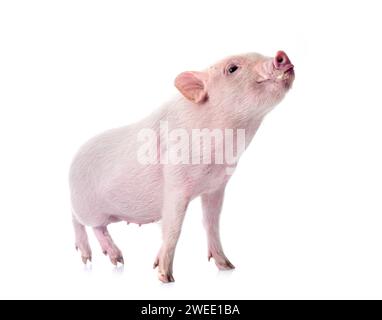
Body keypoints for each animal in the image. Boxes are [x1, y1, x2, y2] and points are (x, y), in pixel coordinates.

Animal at [69, 50, 296, 282]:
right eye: (232, 68)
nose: (281, 55)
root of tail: (73, 159)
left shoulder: (216, 187)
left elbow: (211, 223)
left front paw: (227, 266)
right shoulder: (175, 183)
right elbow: (173, 228)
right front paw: (165, 277)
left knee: (97, 226)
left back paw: (117, 260)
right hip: (84, 204)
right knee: (76, 218)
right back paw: (90, 258)